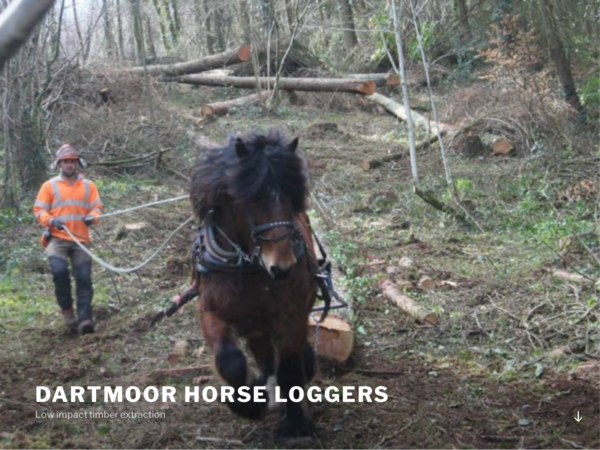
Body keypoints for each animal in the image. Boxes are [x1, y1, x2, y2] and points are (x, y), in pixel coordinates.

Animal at [191, 128, 318, 438]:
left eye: (291, 196)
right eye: (252, 199)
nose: (282, 266)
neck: (249, 266)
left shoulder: (293, 314)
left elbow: (289, 366)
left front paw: (295, 425)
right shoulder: (210, 312)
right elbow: (231, 360)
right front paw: (246, 405)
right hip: (253, 324)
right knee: (263, 354)